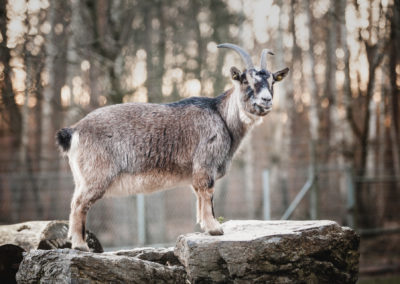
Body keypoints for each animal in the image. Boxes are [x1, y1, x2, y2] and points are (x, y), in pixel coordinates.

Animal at [55, 42, 288, 251]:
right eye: (246, 81)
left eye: (272, 82)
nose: (266, 100)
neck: (221, 116)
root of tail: (74, 130)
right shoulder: (205, 164)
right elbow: (207, 194)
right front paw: (215, 229)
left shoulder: (195, 172)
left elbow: (199, 197)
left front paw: (205, 227)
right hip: (97, 175)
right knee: (79, 205)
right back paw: (80, 245)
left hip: (82, 178)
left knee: (74, 202)